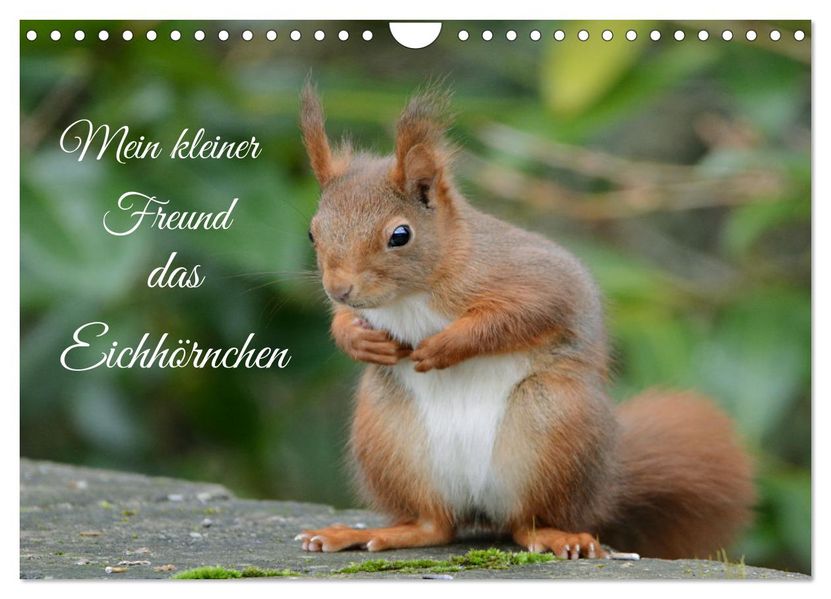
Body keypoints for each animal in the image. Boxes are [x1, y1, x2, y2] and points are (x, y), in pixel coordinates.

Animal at [295, 82, 755, 559]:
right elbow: (347, 321)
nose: (339, 288)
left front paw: (445, 346)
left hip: (550, 427)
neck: (413, 293)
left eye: (399, 235)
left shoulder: (532, 279)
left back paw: (559, 536)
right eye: (312, 232)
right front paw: (357, 339)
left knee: (525, 523)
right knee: (434, 526)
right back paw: (369, 533)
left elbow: (520, 314)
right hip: (390, 438)